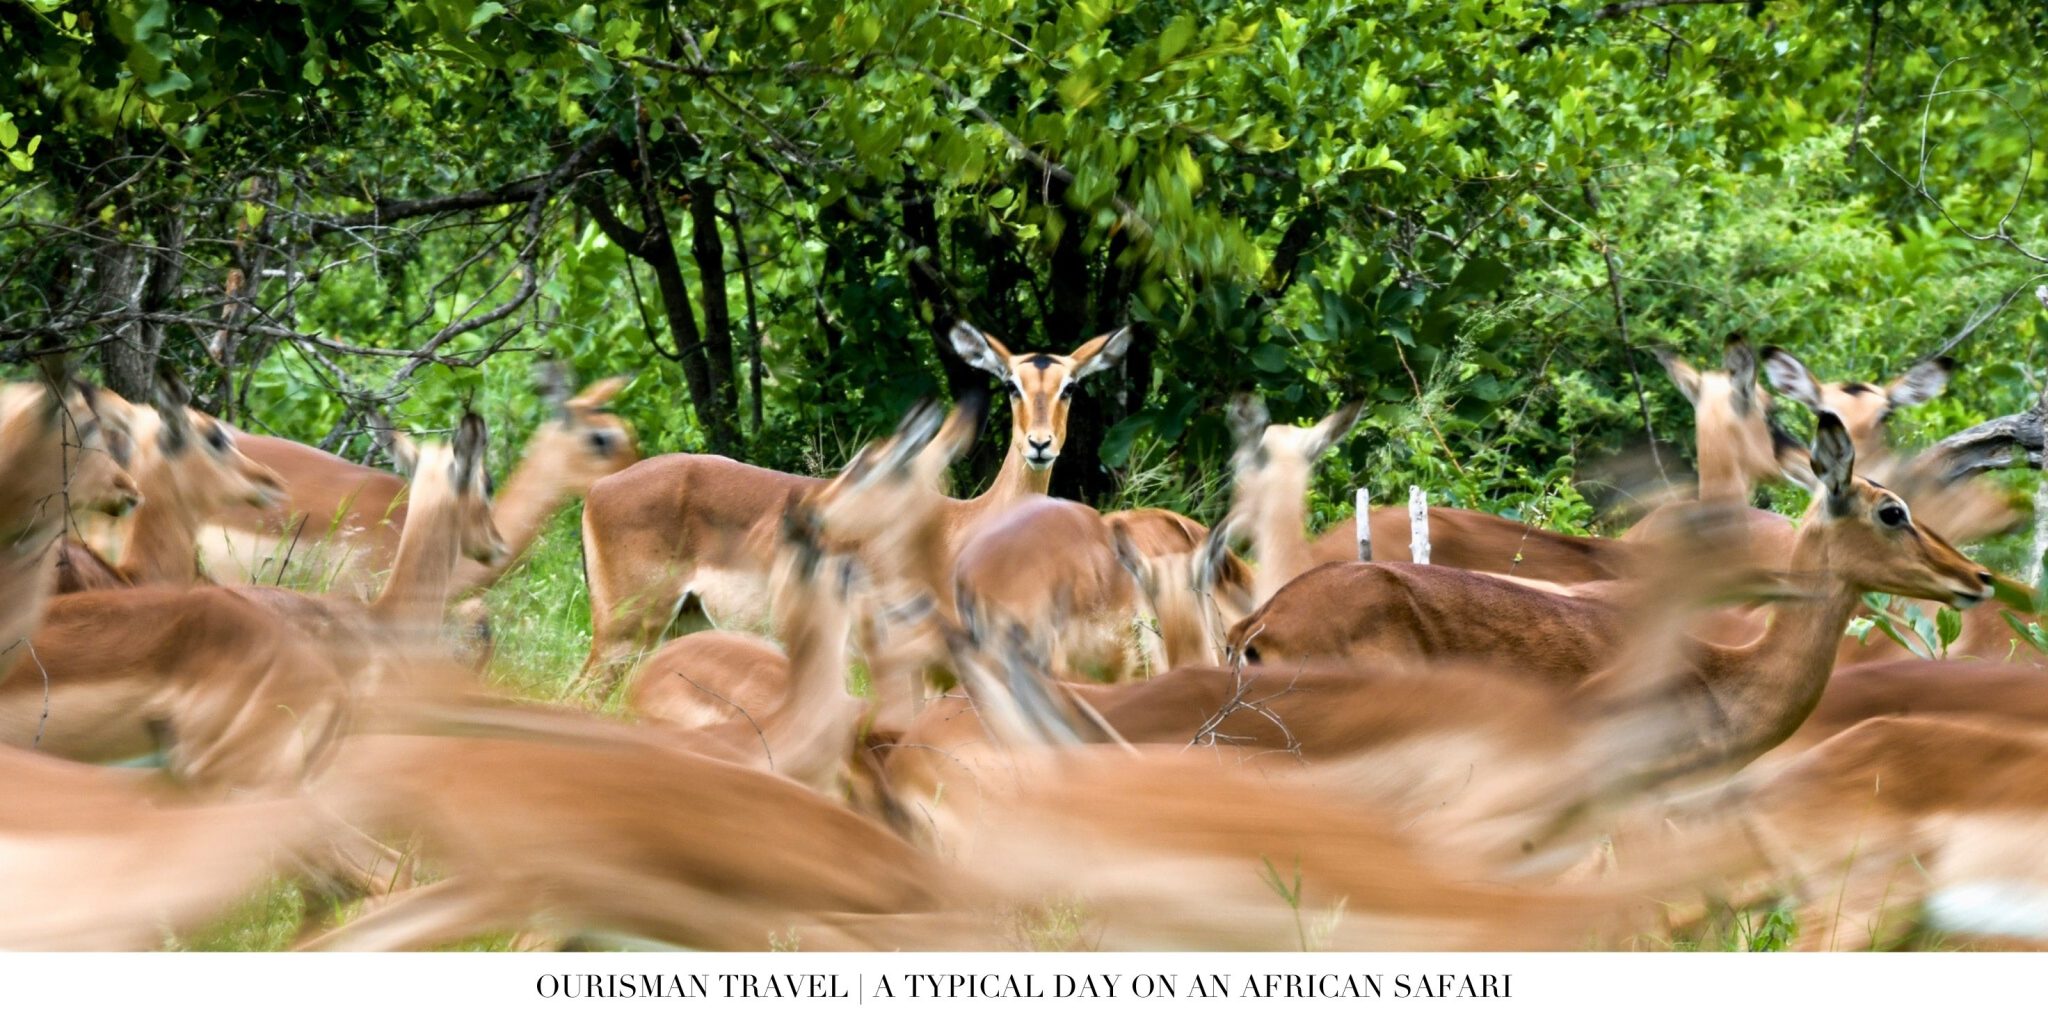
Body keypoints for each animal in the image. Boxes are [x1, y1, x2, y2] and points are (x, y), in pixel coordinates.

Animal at [577, 320, 1130, 686]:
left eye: (1070, 386)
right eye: (1011, 383)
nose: (1040, 445)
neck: (961, 530)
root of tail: (598, 491)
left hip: (678, 628)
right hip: (623, 634)